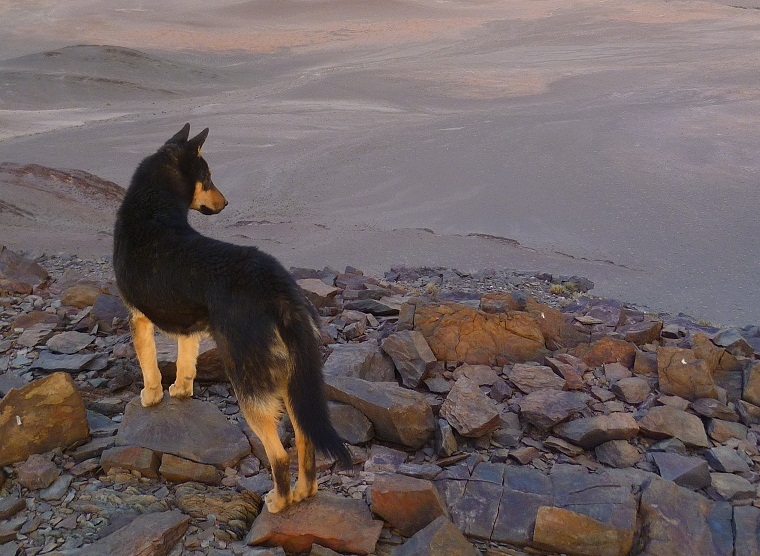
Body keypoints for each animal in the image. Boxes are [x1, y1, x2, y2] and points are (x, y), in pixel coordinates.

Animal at [112, 122, 350, 512]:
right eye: (208, 179)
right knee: (305, 439)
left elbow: (149, 367)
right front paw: (181, 391)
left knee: (278, 454)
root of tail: (276, 288)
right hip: (293, 376)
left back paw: (280, 501)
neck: (153, 208)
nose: (225, 203)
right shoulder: (189, 327)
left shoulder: (139, 319)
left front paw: (152, 396)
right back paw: (304, 492)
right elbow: (185, 363)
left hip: (248, 378)